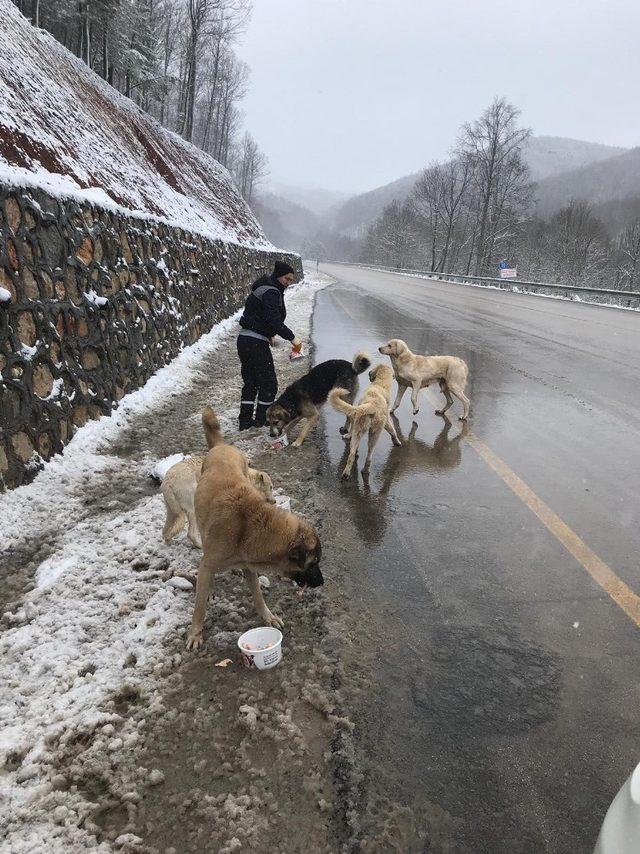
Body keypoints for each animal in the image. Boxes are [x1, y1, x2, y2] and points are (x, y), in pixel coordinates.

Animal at [188, 408, 322, 648]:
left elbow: (258, 595)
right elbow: (199, 606)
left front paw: (267, 616)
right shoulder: (210, 563)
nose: (323, 582)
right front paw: (195, 632)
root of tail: (222, 446)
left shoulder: (249, 565)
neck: (248, 526)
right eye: (313, 563)